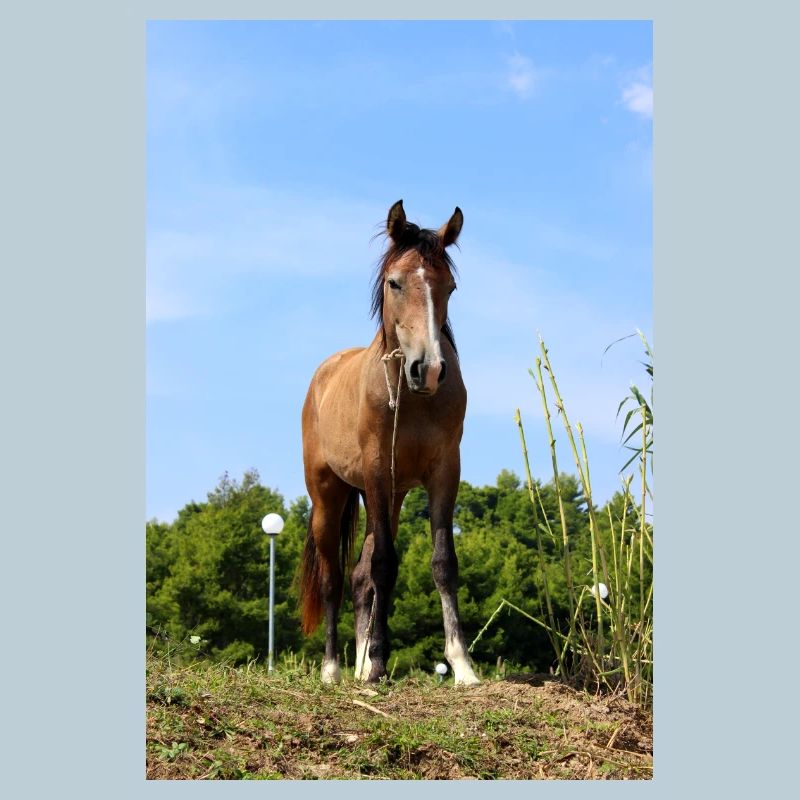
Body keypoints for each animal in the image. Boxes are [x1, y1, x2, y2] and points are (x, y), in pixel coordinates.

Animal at [299, 199, 480, 686]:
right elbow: (384, 564)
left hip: (390, 497)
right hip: (330, 497)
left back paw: (359, 665)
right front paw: (379, 662)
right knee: (334, 579)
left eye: (450, 286)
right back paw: (333, 669)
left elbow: (442, 563)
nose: (428, 369)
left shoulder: (444, 473)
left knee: (359, 577)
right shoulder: (378, 472)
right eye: (395, 282)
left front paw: (461, 664)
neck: (412, 398)